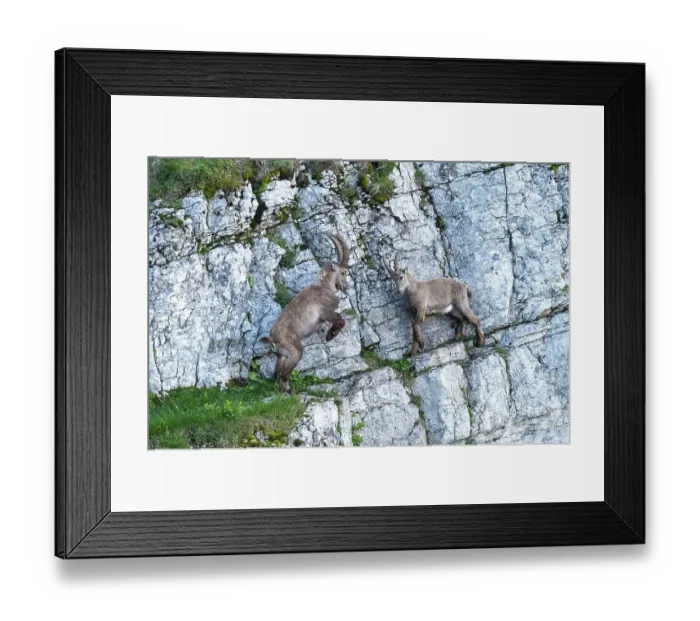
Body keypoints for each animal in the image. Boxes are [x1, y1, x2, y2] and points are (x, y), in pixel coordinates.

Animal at [261, 234, 350, 392]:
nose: (345, 286)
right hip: (295, 351)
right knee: (284, 374)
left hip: (282, 355)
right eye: (343, 272)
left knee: (278, 374)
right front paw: (330, 335)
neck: (324, 288)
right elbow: (340, 320)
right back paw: (290, 390)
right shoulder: (325, 313)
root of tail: (273, 339)